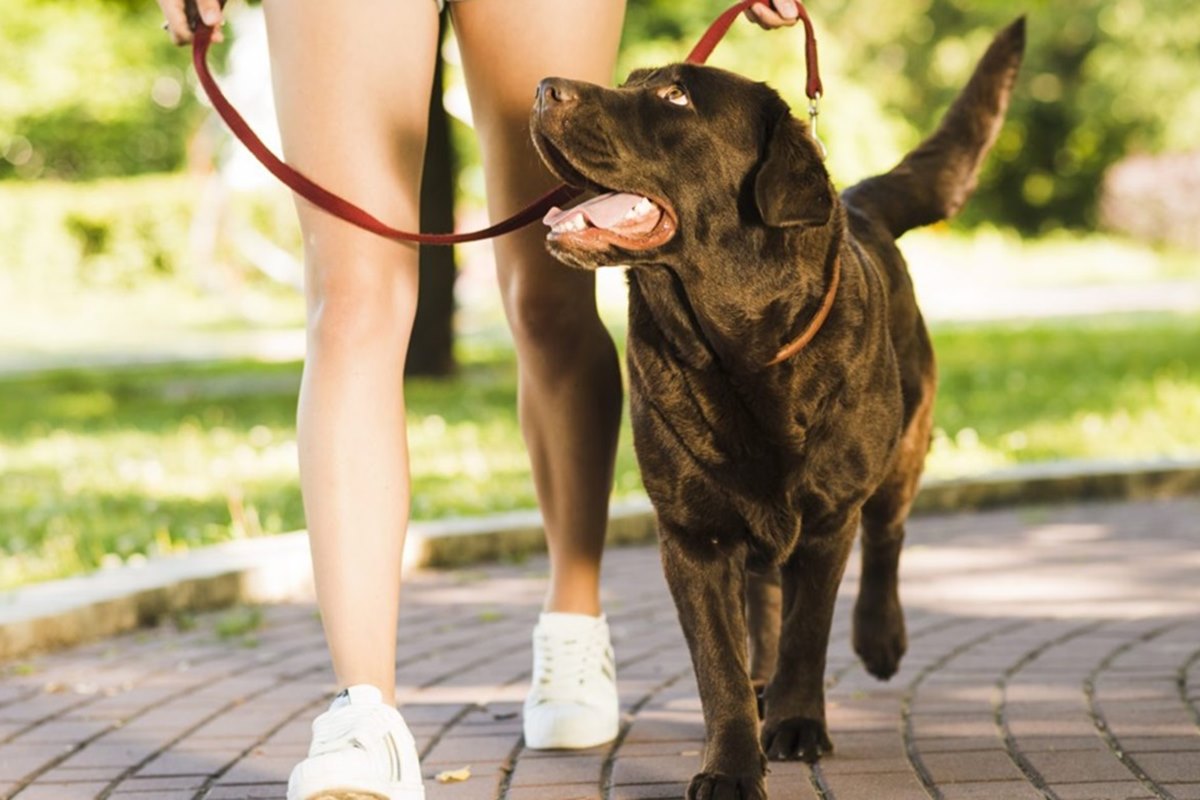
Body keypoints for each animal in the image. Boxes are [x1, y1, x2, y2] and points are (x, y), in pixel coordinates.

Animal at [530, 20, 1027, 800]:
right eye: (631, 80)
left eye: (675, 96)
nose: (545, 88)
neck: (732, 351)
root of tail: (859, 201)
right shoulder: (692, 535)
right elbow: (719, 665)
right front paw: (732, 763)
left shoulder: (827, 521)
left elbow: (807, 630)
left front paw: (796, 724)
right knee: (763, 594)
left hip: (903, 446)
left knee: (887, 536)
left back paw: (879, 638)